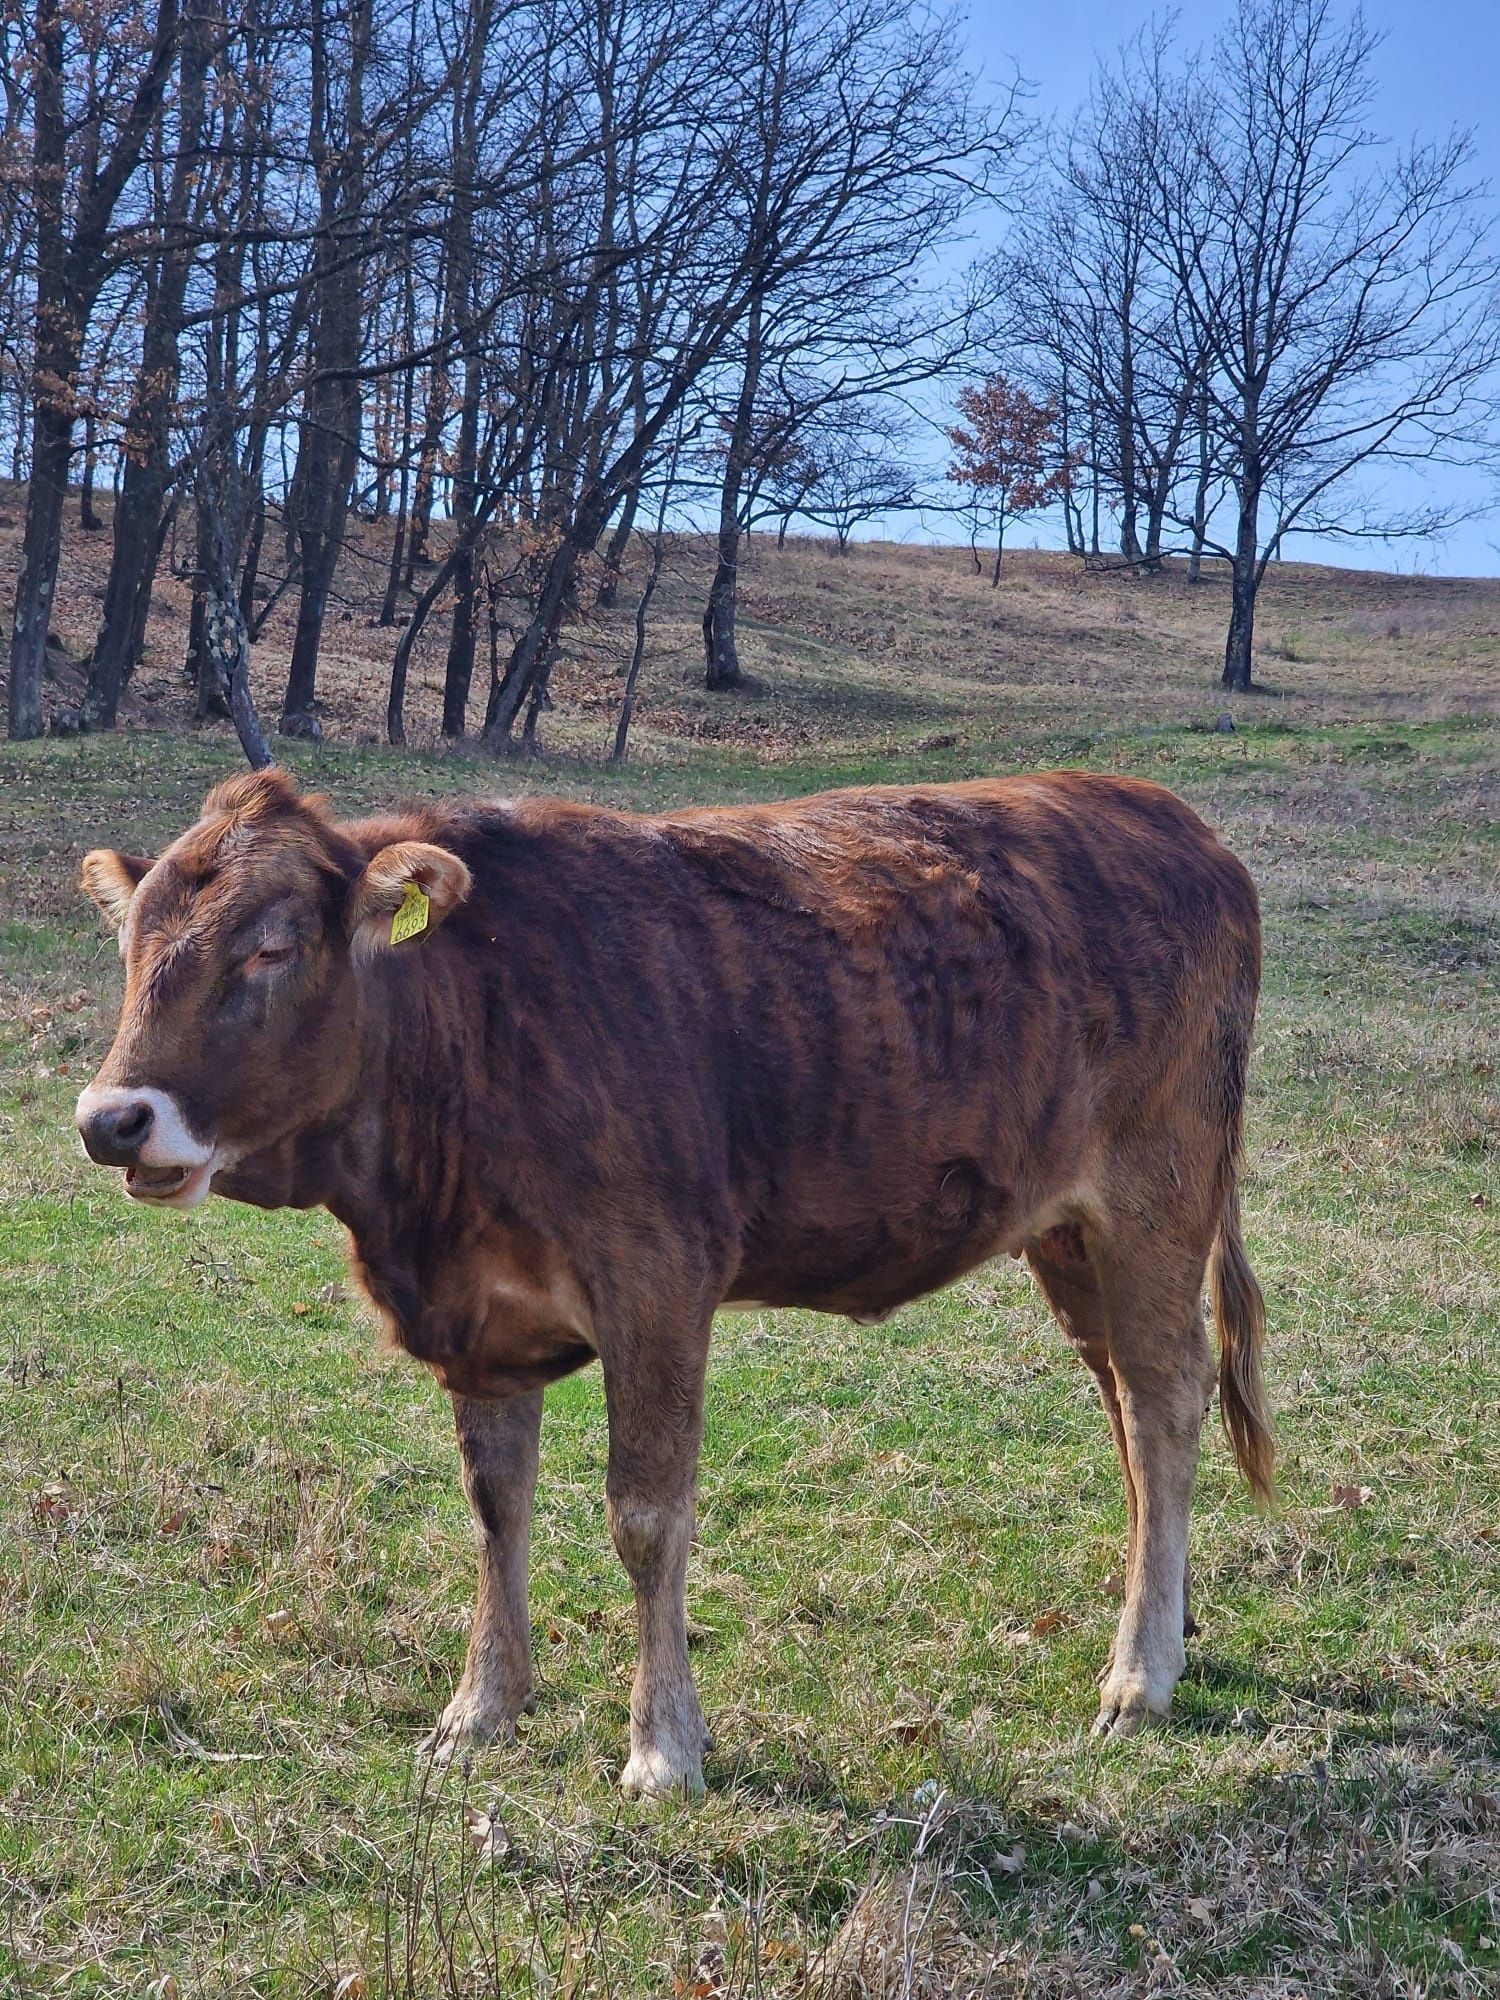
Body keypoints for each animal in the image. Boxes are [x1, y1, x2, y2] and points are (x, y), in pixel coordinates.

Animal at [70, 768, 1272, 1800]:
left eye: (269, 949)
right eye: (131, 945)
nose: (110, 1118)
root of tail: (1174, 822)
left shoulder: (655, 1278)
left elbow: (646, 1515)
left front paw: (663, 1748)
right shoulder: (483, 1315)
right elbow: (494, 1503)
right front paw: (481, 1708)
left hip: (1158, 1193)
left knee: (1165, 1399)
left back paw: (1138, 1676)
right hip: (1067, 1229)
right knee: (1123, 1400)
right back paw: (1170, 1622)